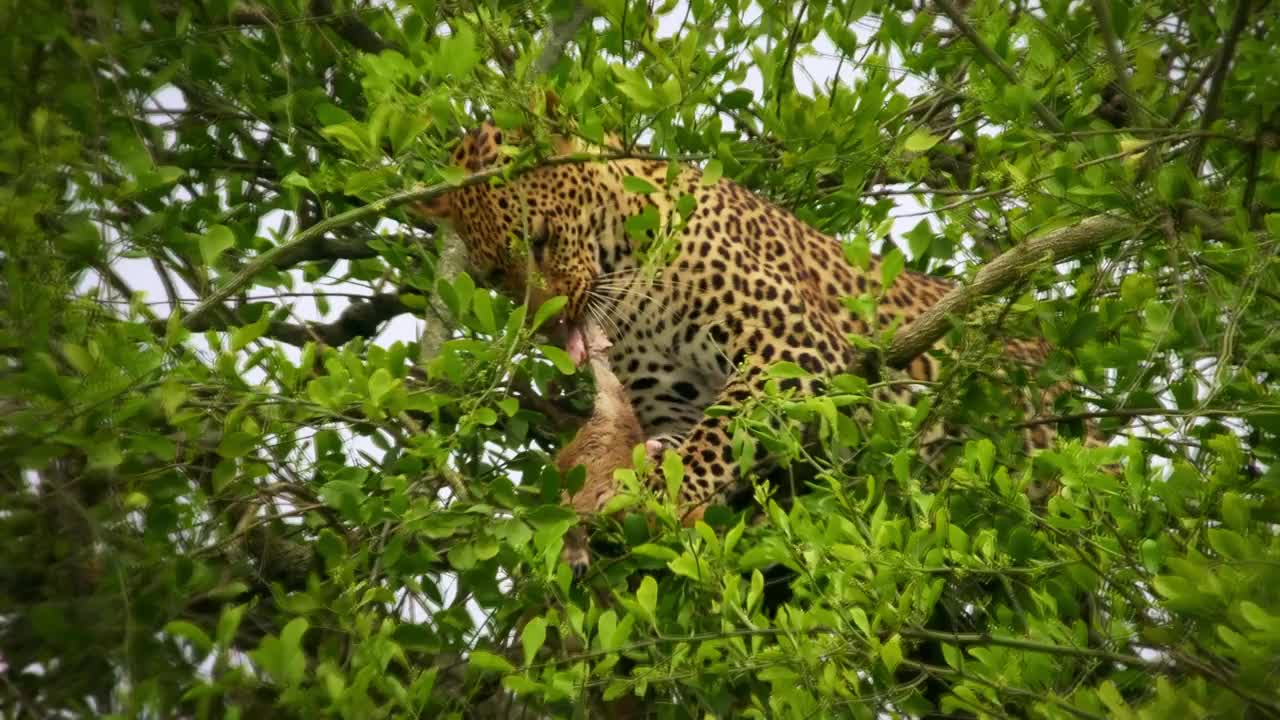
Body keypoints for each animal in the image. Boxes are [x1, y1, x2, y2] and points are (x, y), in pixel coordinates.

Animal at [417, 114, 1080, 525]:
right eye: (494, 277)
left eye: (540, 240)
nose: (549, 328)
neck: (626, 272)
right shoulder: (671, 401)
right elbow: (691, 436)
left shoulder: (790, 347)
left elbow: (720, 433)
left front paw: (664, 494)